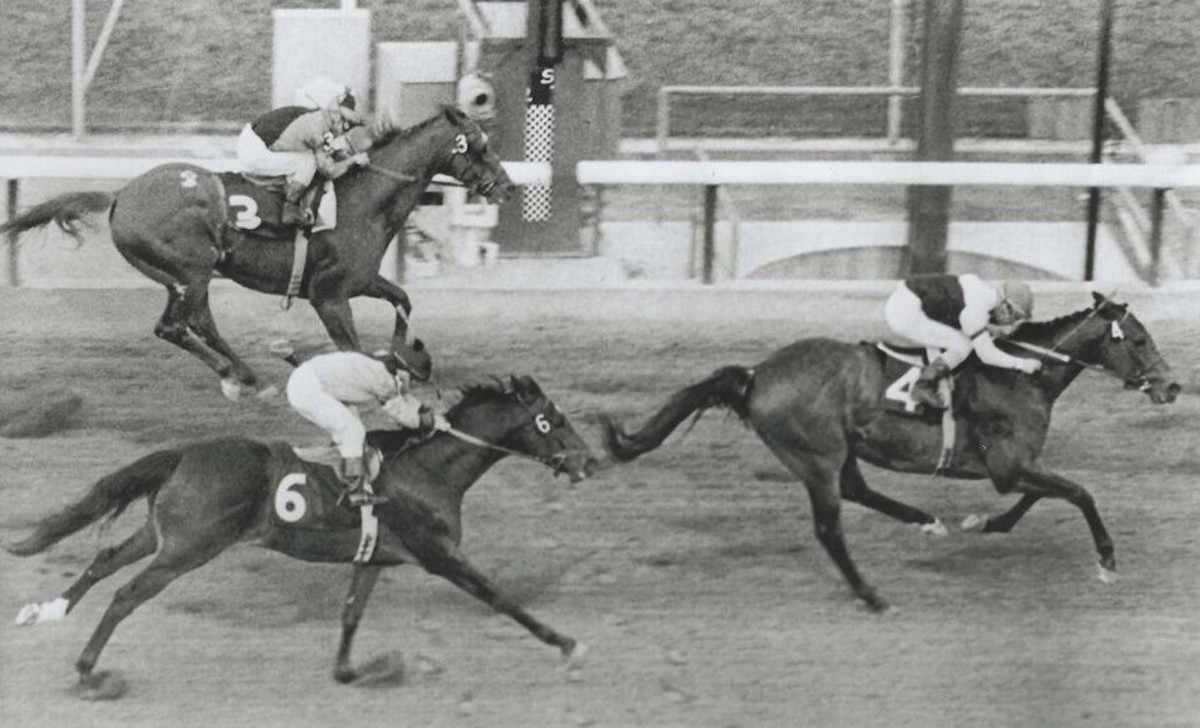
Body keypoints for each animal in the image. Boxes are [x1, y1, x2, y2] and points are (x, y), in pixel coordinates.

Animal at [0, 106, 508, 398]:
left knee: (194, 323)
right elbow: (354, 348)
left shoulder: (360, 279)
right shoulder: (329, 295)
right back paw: (235, 376)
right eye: (480, 145)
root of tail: (121, 195)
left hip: (182, 276)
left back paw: (246, 376)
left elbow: (403, 299)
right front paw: (388, 369)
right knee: (177, 326)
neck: (364, 197)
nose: (504, 184)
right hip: (190, 270)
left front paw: (408, 357)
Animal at [9, 374, 600, 695]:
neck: (430, 468)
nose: (590, 461)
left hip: (163, 535)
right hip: (189, 547)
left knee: (106, 558)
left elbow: (351, 613)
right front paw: (567, 644)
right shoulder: (440, 554)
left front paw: (352, 670)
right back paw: (87, 669)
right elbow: (500, 598)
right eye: (553, 420)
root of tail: (183, 453)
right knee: (127, 593)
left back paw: (47, 611)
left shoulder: (376, 558)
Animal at [595, 293, 1176, 611]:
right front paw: (1107, 561)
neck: (1022, 374)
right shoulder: (1008, 467)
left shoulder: (1017, 468)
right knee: (830, 527)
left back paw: (925, 520)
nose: (1172, 387)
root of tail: (758, 375)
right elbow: (1080, 493)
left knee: (857, 489)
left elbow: (1043, 497)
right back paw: (872, 595)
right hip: (815, 456)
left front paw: (984, 524)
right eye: (1139, 340)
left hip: (841, 449)